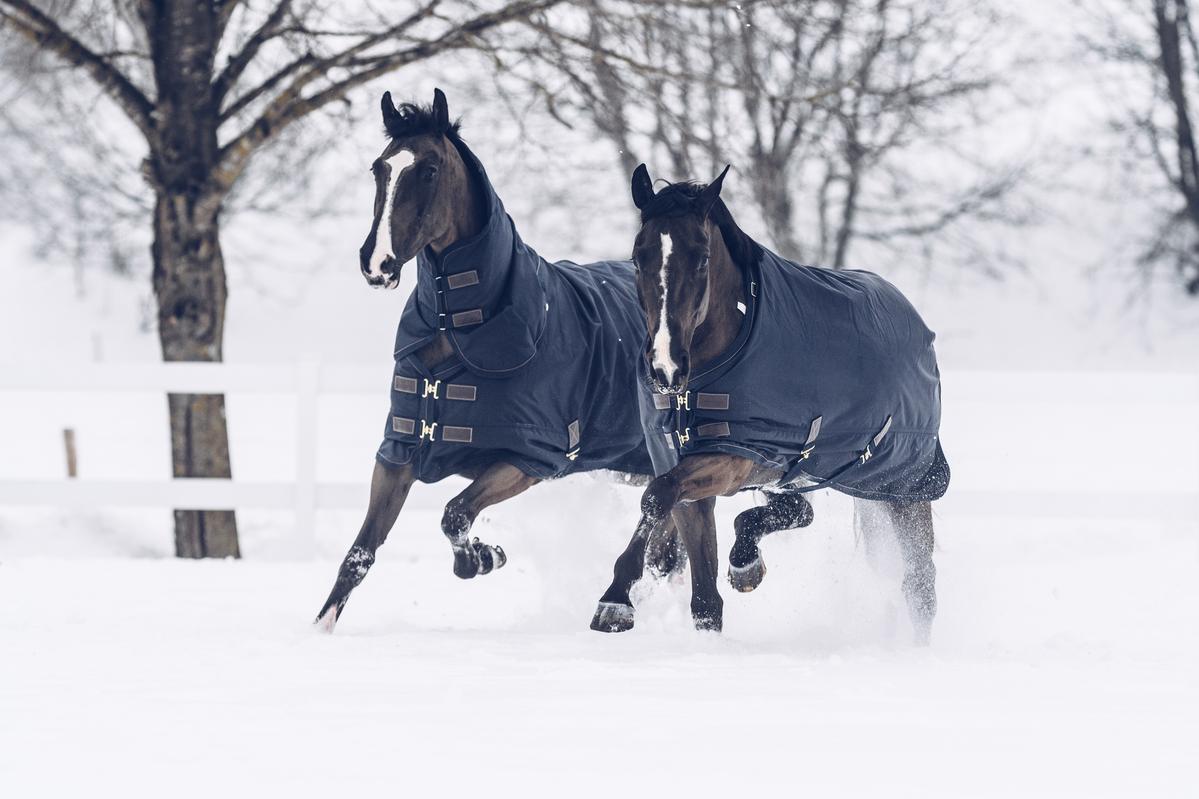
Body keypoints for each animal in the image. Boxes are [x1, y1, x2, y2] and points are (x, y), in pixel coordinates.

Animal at [315, 89, 690, 632]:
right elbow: (359, 555)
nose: (377, 263)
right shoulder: (398, 453)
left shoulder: (530, 459)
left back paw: (618, 602)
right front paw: (319, 630)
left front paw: (485, 557)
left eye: (429, 170)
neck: (460, 328)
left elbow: (455, 514)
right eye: (379, 168)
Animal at [590, 163, 950, 643]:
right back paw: (746, 562)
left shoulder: (735, 458)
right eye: (637, 257)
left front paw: (615, 601)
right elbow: (703, 597)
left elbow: (655, 496)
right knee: (795, 511)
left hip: (904, 490)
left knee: (919, 585)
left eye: (701, 257)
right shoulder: (686, 474)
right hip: (810, 477)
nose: (666, 367)